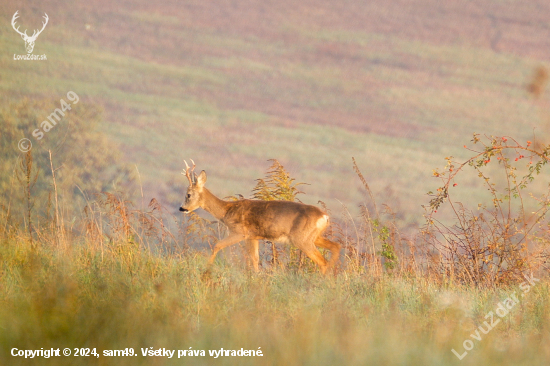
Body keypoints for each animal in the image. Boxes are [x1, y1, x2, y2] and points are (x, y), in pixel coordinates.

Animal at [179, 160, 340, 274]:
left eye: (188, 194)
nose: (182, 208)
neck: (226, 211)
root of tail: (324, 216)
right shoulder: (253, 236)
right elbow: (255, 259)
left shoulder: (240, 232)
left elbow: (217, 245)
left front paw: (207, 269)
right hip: (313, 236)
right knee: (335, 246)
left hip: (302, 238)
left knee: (322, 261)